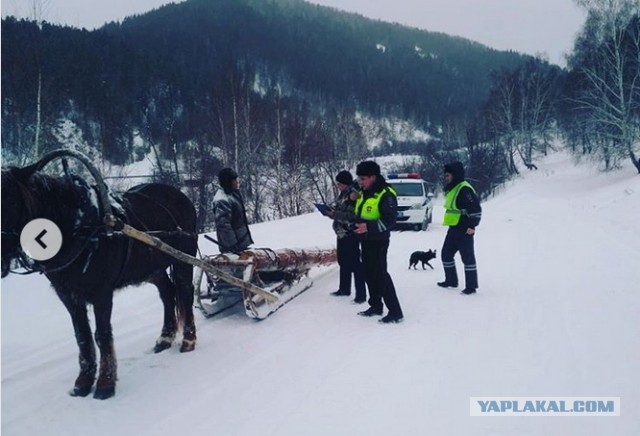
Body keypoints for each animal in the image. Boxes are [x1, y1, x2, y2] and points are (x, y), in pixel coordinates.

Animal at [0, 160, 198, 398]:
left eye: (8, 199)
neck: (78, 227)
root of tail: (180, 194)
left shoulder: (101, 293)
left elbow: (102, 335)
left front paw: (105, 383)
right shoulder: (68, 296)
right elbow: (82, 336)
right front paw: (83, 381)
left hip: (183, 257)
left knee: (185, 292)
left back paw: (188, 339)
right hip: (153, 268)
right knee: (167, 294)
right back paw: (165, 337)